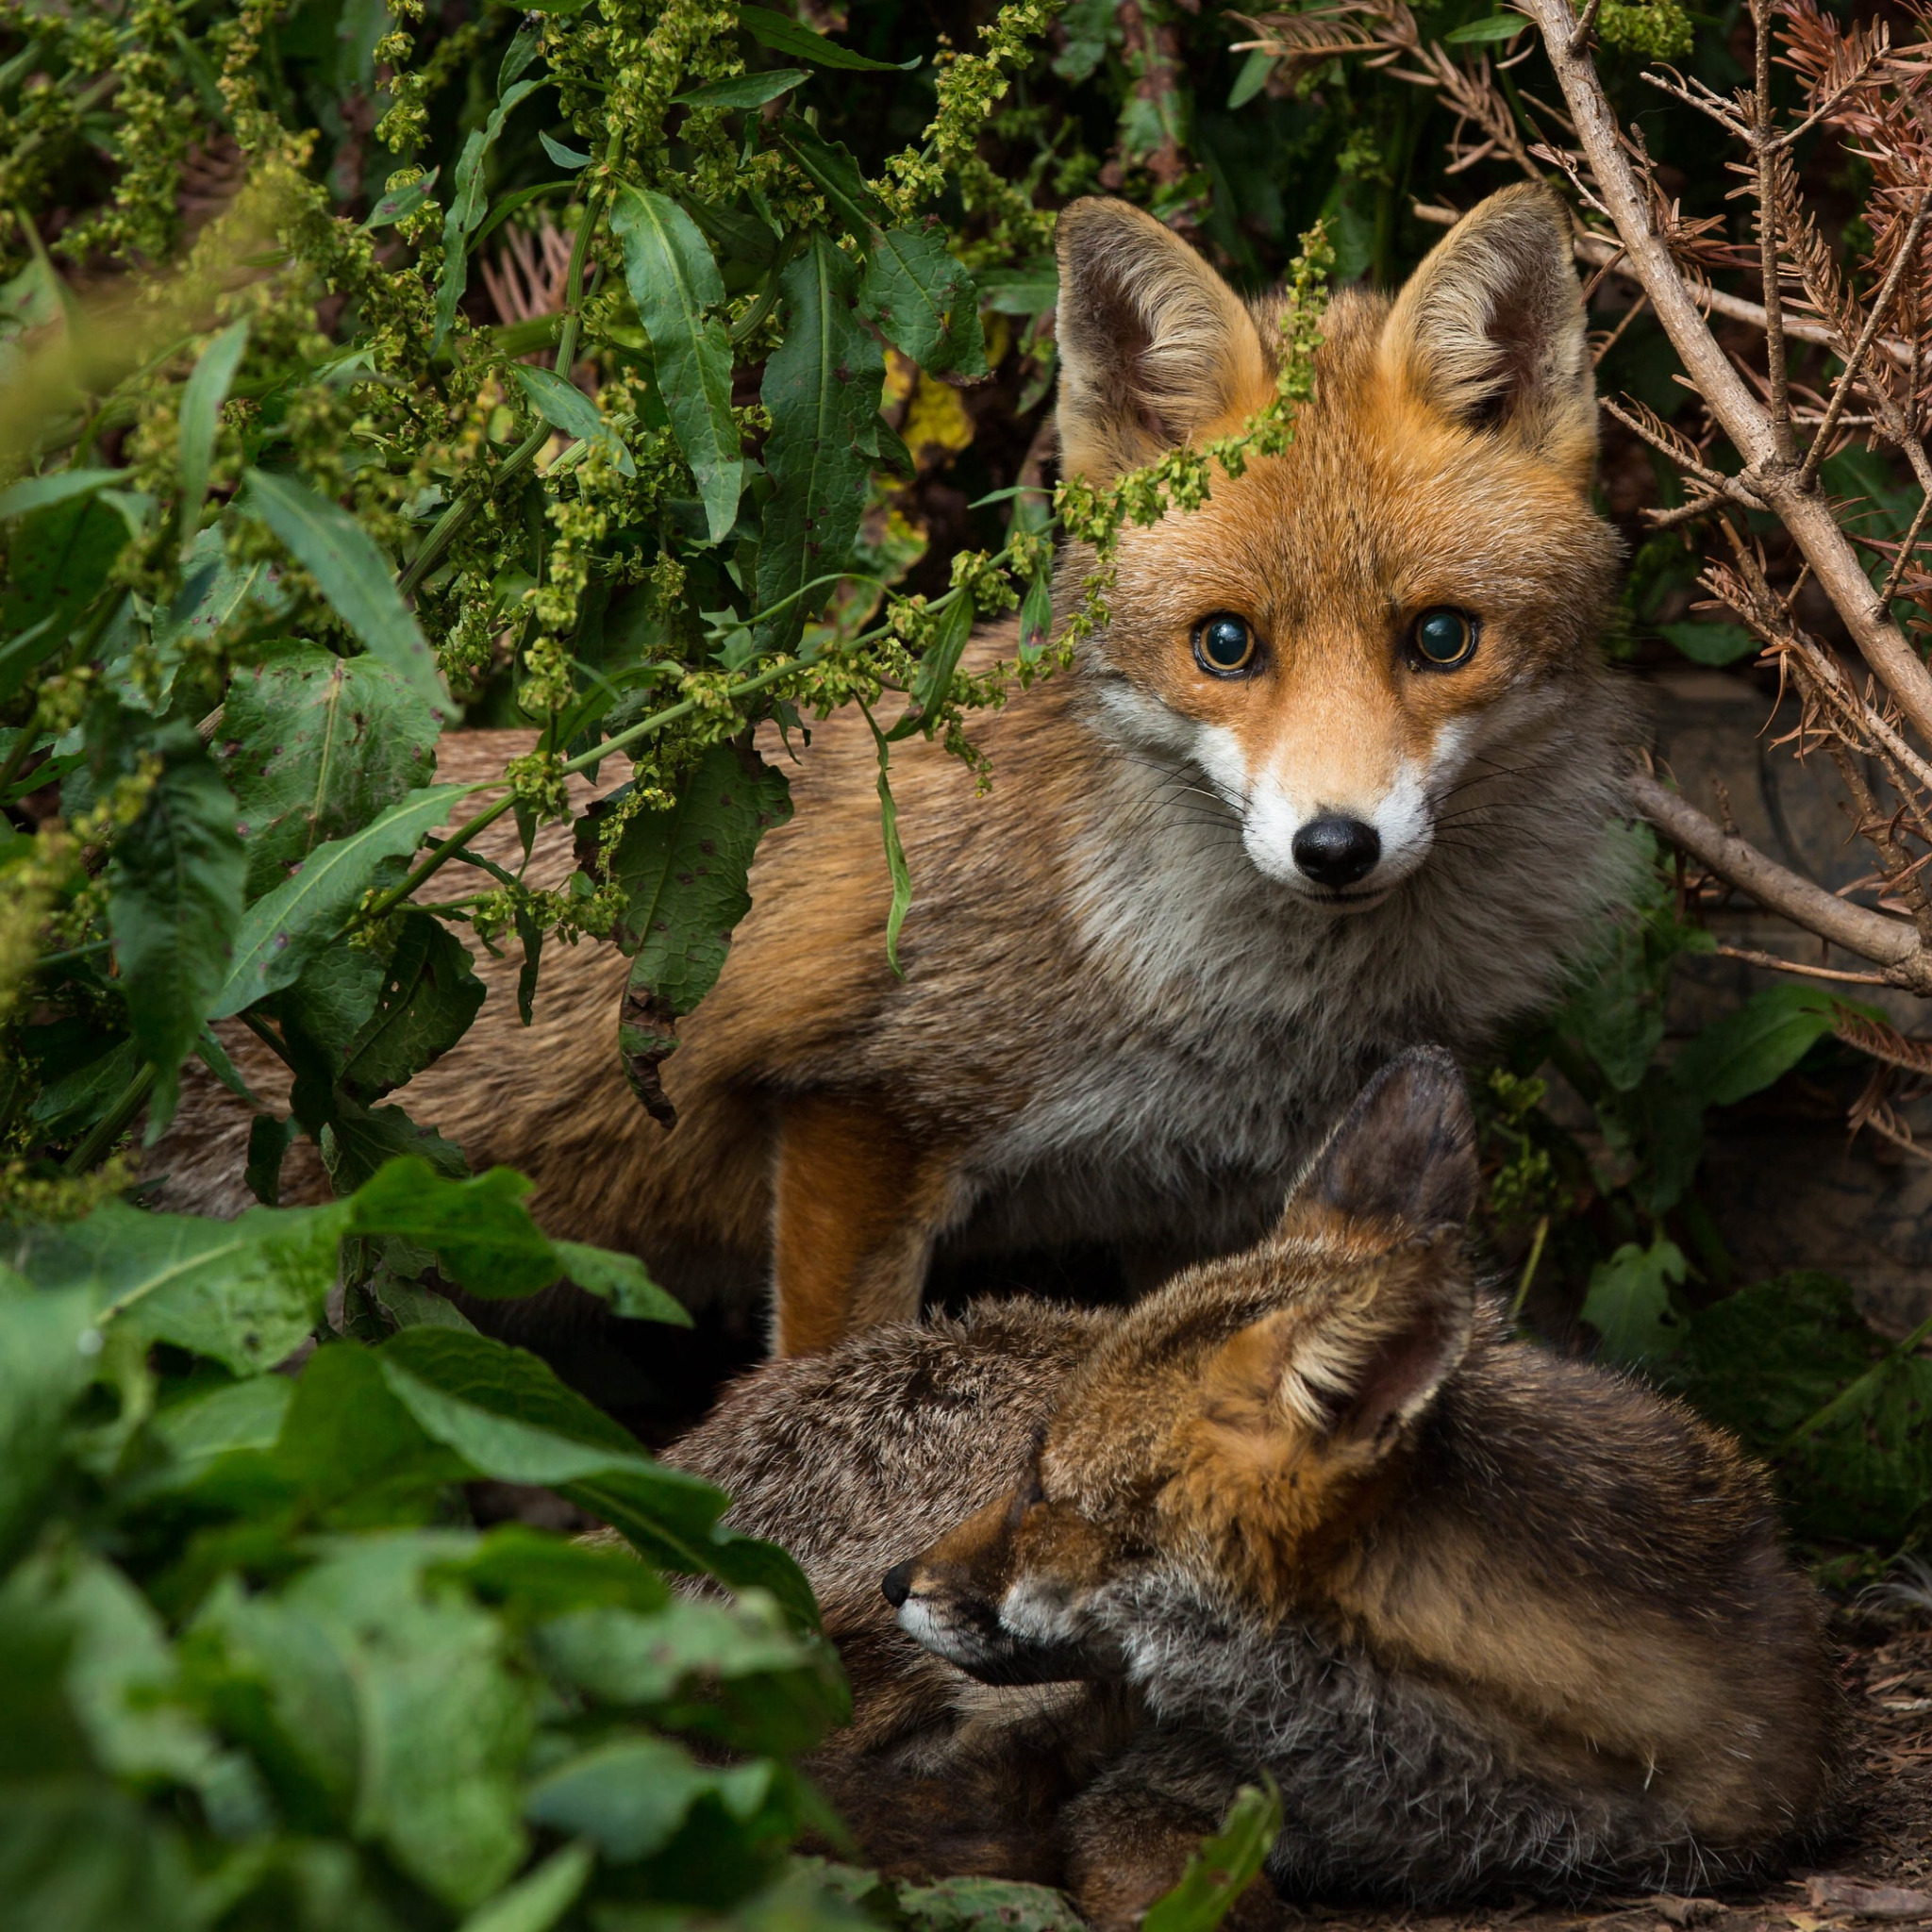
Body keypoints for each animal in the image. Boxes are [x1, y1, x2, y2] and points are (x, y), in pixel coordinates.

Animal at [162, 184, 1630, 1359]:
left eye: (1439, 639)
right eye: (1226, 645)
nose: (1334, 847)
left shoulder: (1203, 1200)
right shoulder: (862, 1105)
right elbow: (824, 1364)